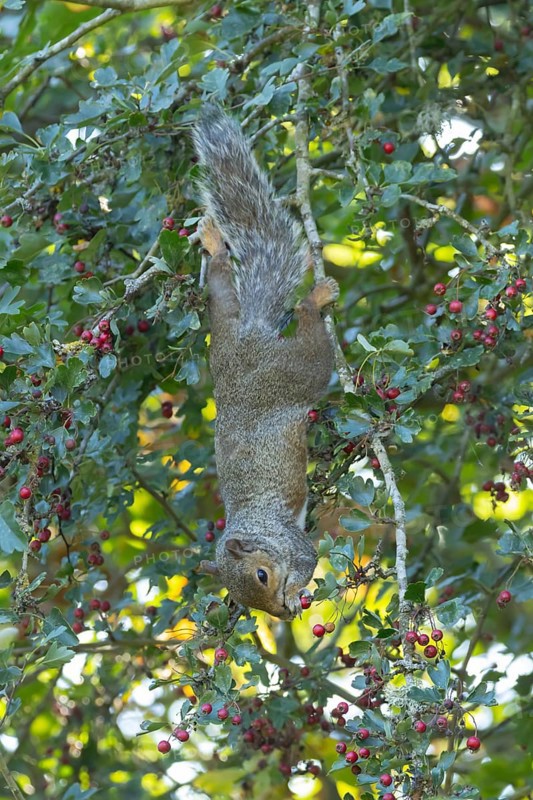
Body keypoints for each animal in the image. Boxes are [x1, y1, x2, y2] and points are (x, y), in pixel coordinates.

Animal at [193, 107, 338, 620]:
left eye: (261, 576)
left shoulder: (292, 541)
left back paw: (315, 300)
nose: (282, 613)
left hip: (299, 370)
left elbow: (309, 558)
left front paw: (296, 592)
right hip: (223, 334)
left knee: (314, 343)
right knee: (221, 288)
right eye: (244, 599)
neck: (257, 526)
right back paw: (214, 245)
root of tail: (253, 340)